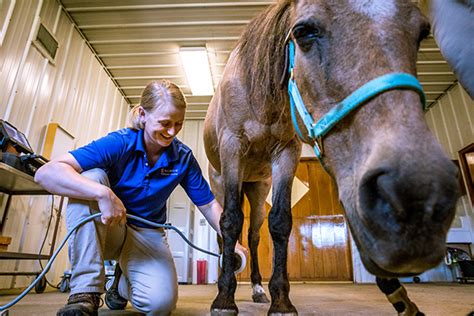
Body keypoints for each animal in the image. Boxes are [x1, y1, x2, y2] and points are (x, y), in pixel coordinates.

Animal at [204, 1, 460, 314]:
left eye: (422, 33)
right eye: (303, 32)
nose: (418, 194)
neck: (259, 95)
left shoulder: (286, 154)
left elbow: (280, 222)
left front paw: (281, 300)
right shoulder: (232, 149)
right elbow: (229, 222)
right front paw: (224, 298)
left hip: (258, 188)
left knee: (253, 236)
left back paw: (256, 289)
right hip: (221, 181)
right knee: (224, 233)